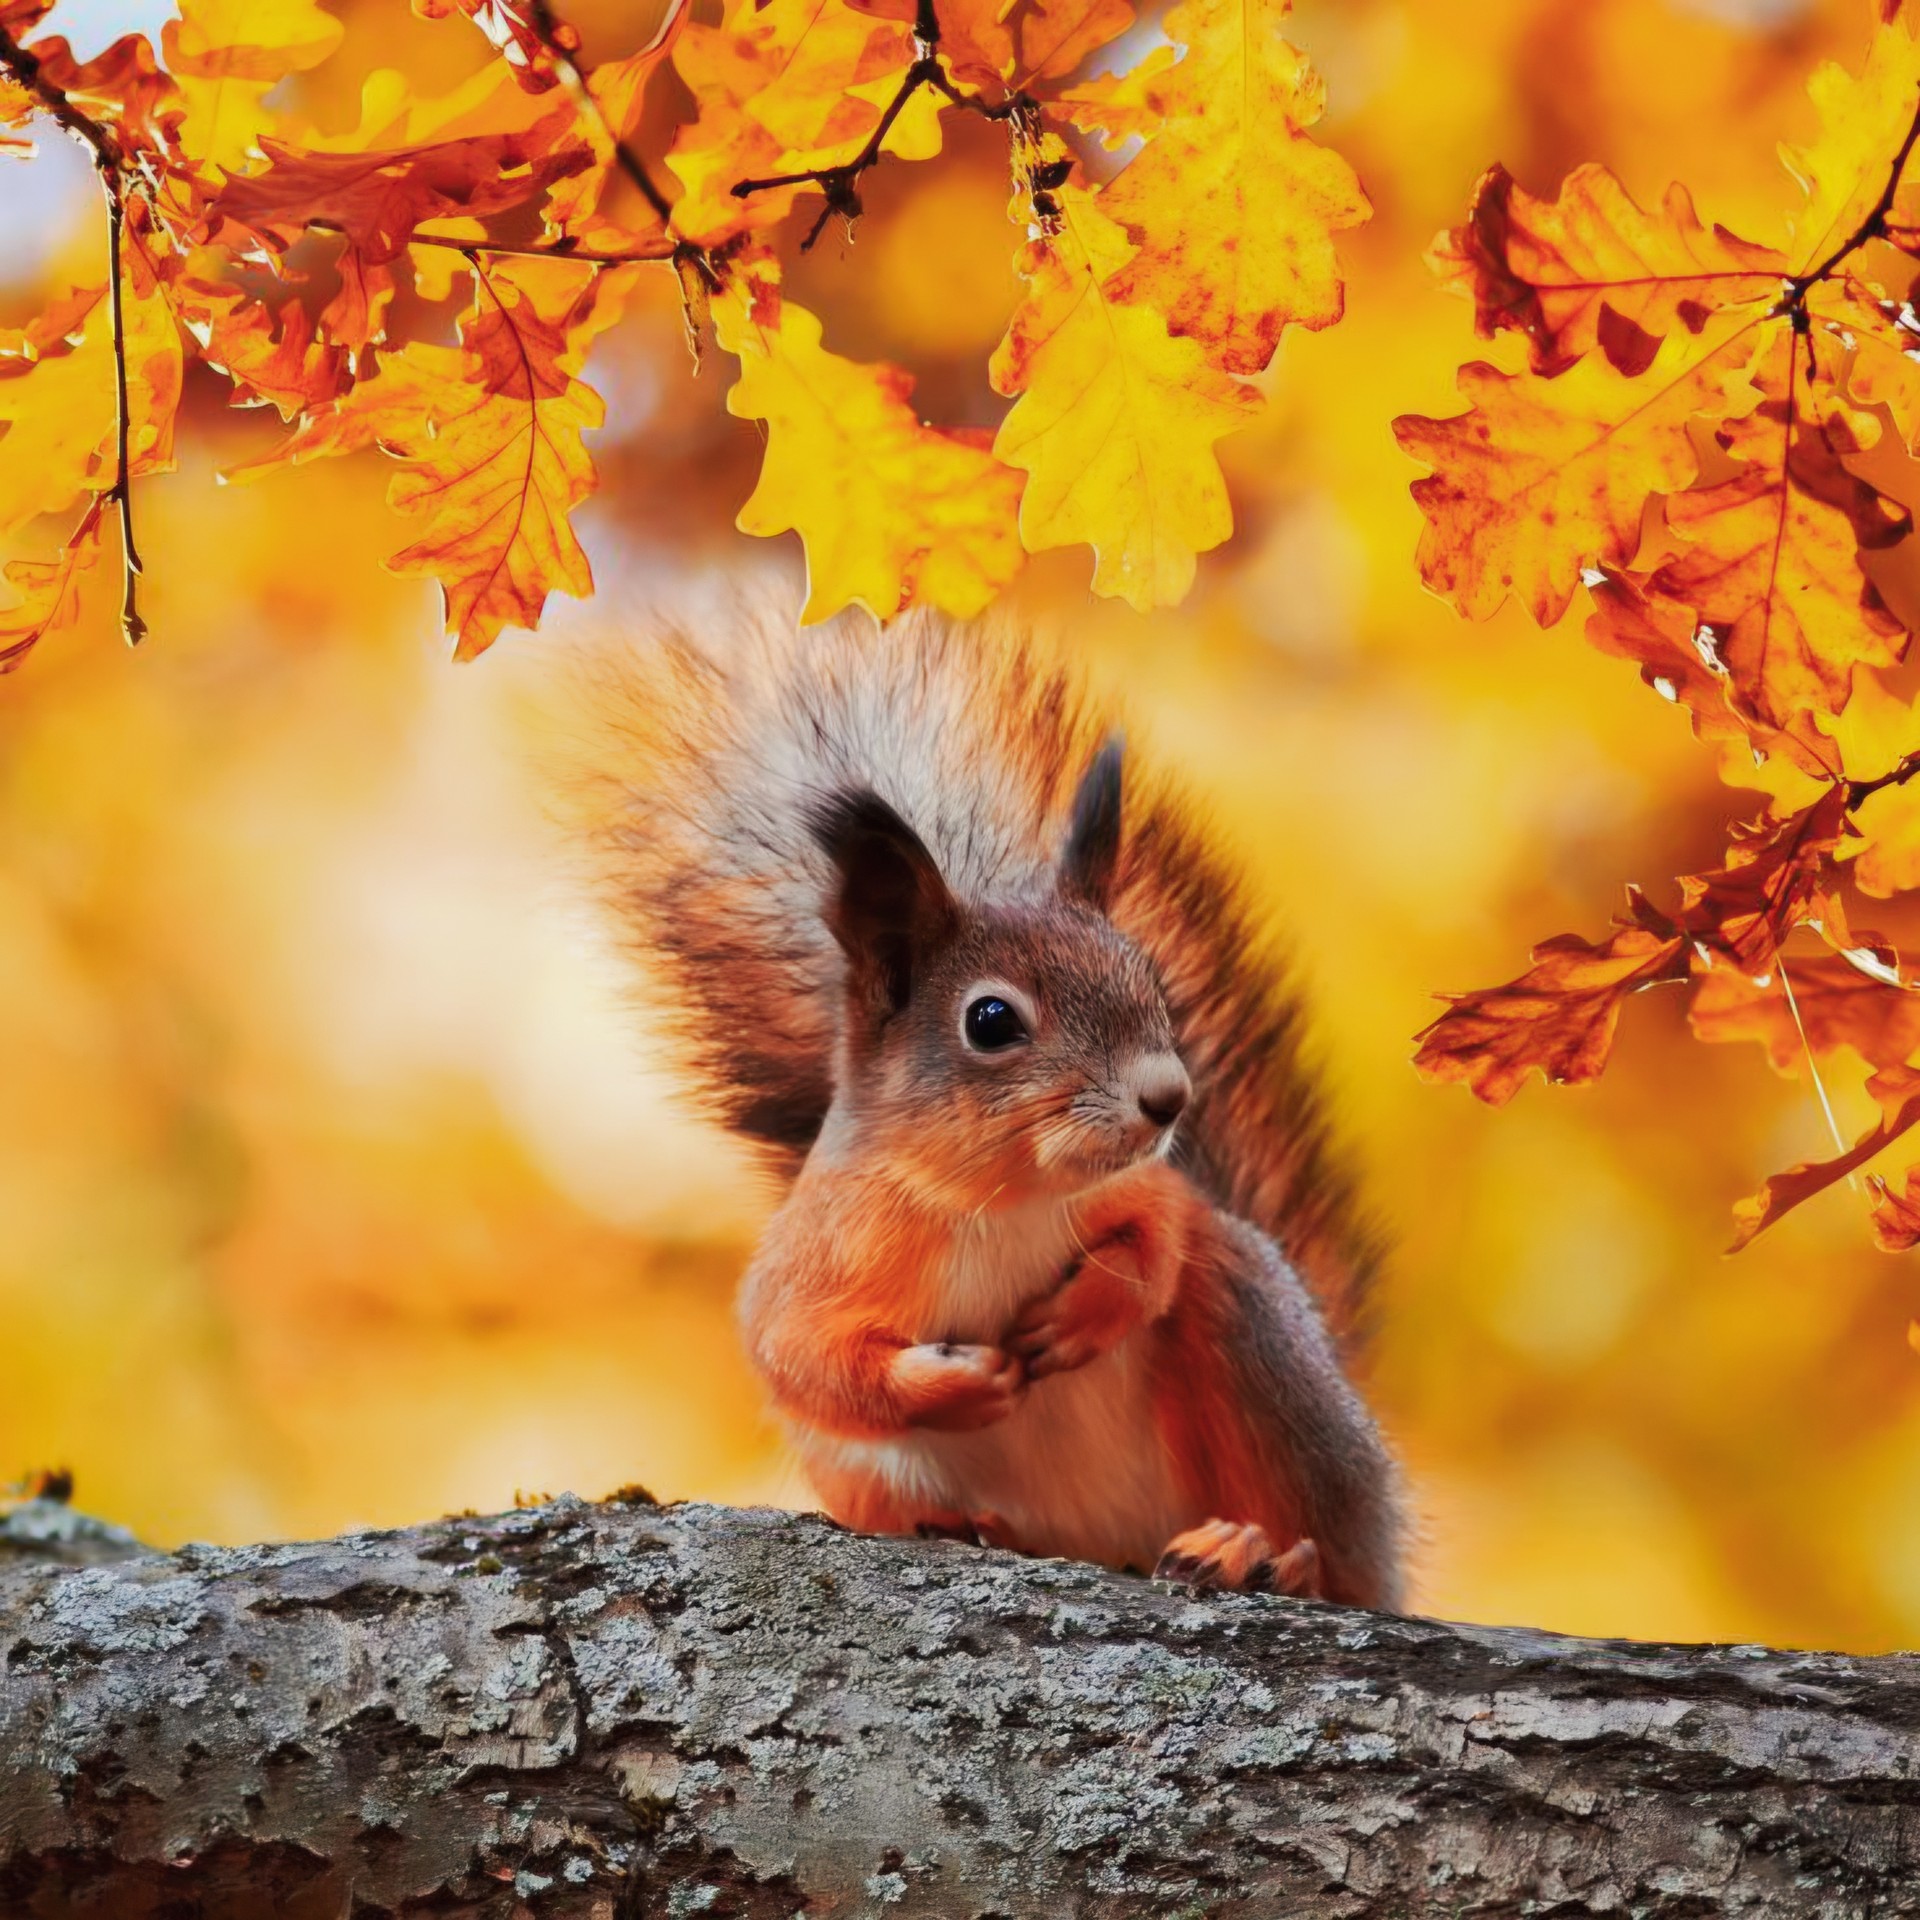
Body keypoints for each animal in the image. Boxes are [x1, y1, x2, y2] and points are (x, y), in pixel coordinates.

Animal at [583, 607, 1405, 1607]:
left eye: (1150, 982)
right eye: (991, 1020)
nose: (1169, 1099)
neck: (998, 1202)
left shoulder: (1145, 1188)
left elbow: (1163, 1233)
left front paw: (1089, 1308)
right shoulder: (808, 1268)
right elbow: (808, 1363)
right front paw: (960, 1385)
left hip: (1263, 1356)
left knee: (1324, 1541)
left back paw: (1263, 1555)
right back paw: (968, 1526)